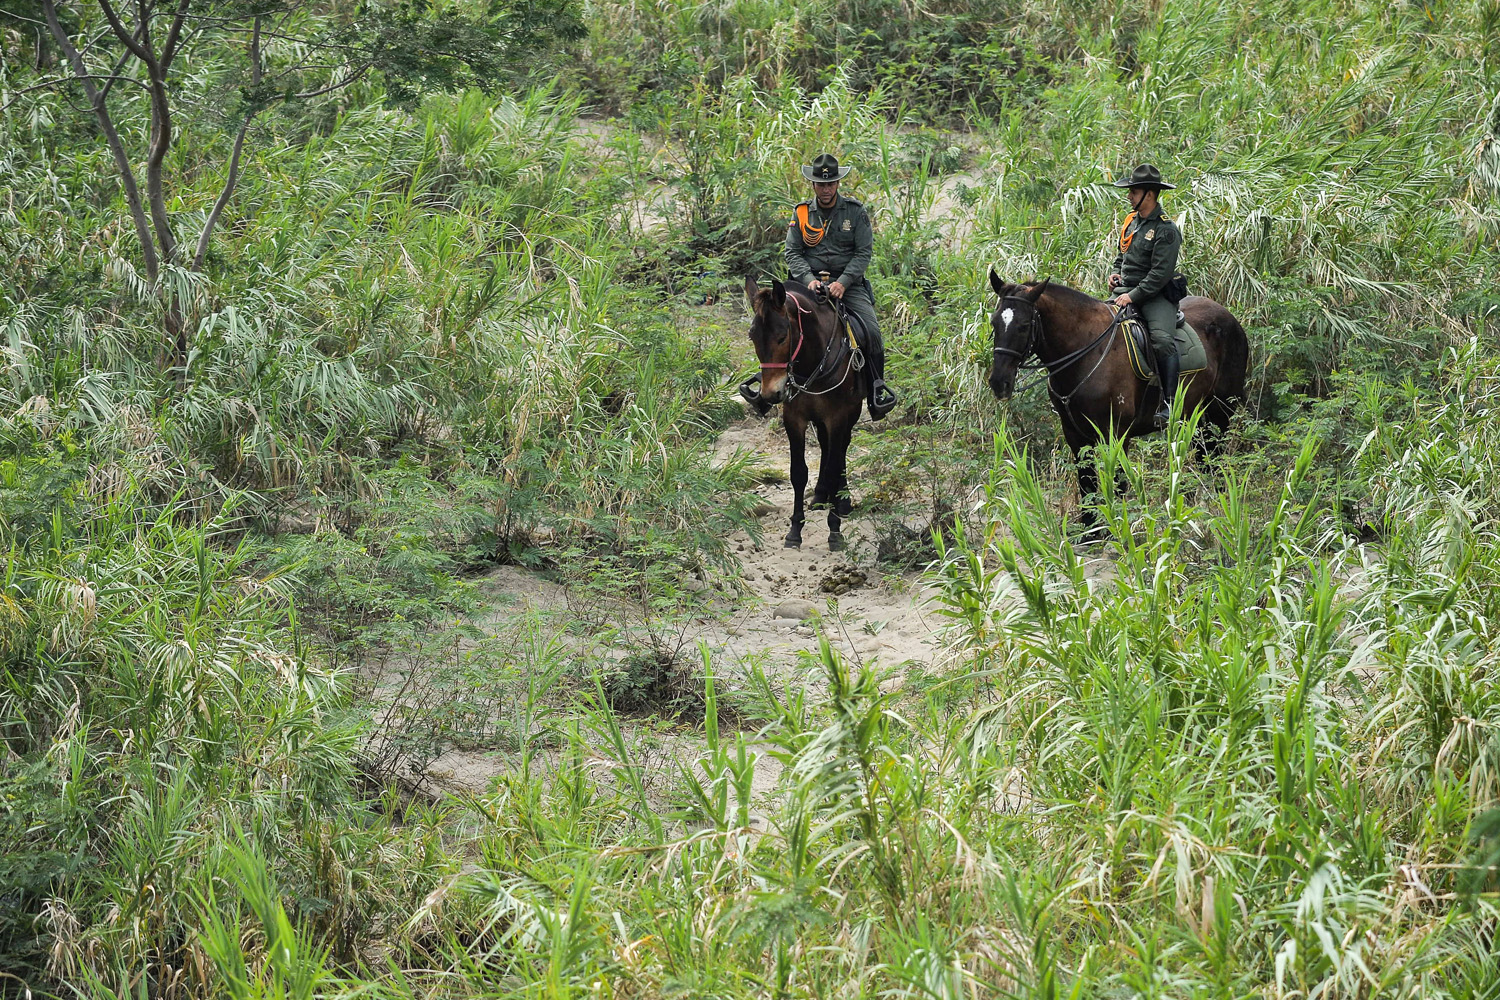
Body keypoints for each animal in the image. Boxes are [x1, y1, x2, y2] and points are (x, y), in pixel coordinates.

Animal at [741, 277, 870, 551]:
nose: (770, 394)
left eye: (782, 337)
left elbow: (833, 468)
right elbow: (798, 473)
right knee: (826, 446)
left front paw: (835, 531)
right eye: (752, 336)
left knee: (841, 450)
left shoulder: (837, 417)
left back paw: (842, 501)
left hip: (850, 413)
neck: (814, 361)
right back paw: (821, 496)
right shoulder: (795, 418)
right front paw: (794, 531)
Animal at [990, 274, 1248, 524]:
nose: (998, 382)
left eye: (1024, 326)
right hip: (1194, 417)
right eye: (994, 322)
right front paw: (1091, 531)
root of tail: (1229, 317)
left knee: (1215, 460)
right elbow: (1087, 486)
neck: (1085, 352)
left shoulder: (1117, 433)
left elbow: (1118, 483)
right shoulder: (1075, 435)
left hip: (1220, 413)